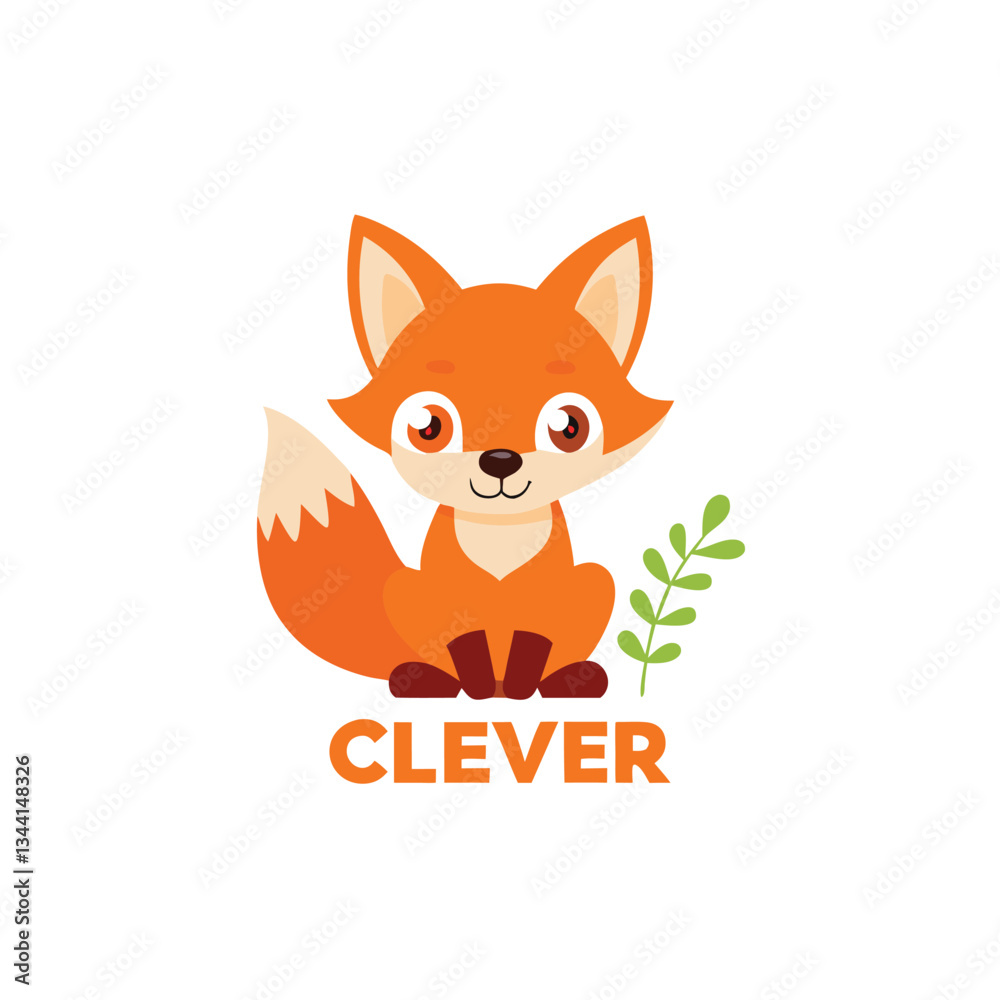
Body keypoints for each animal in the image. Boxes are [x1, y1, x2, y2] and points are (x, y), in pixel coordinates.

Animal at [257, 216, 672, 699]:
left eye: (569, 426)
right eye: (428, 426)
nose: (500, 459)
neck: (498, 535)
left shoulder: (543, 605)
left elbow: (532, 643)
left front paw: (523, 683)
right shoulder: (451, 604)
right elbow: (465, 644)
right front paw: (475, 684)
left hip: (594, 581)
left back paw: (567, 680)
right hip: (405, 589)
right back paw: (426, 679)